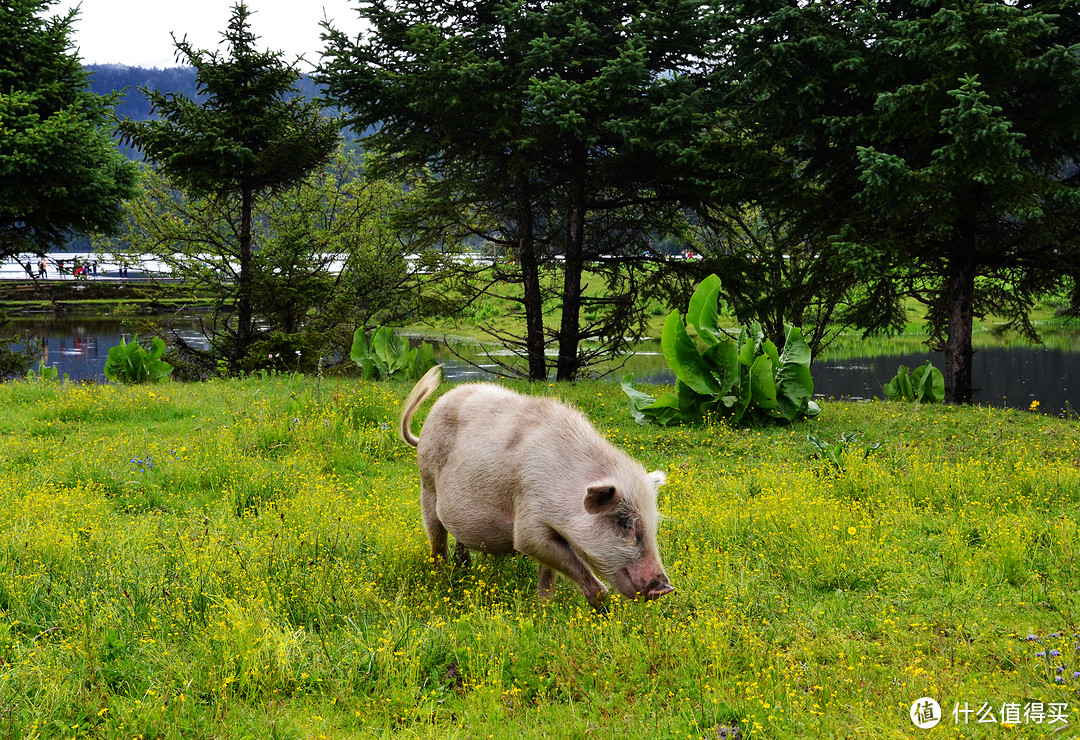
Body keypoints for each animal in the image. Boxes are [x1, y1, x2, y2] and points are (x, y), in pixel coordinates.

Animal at [401, 362, 673, 604]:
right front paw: (602, 605)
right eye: (624, 523)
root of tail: (422, 432)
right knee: (436, 538)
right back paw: (442, 578)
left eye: (653, 525)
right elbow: (532, 545)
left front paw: (543, 607)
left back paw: (465, 569)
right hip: (427, 484)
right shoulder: (529, 520)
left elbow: (548, 575)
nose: (666, 588)